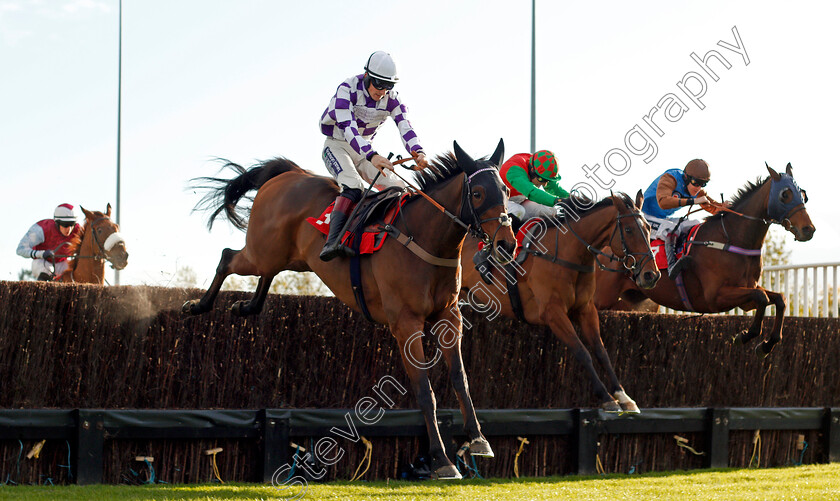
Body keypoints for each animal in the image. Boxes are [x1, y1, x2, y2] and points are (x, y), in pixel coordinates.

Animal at [184, 139, 520, 478]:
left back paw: (244, 306)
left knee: (265, 274)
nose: (506, 244)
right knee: (228, 257)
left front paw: (479, 440)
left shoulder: (449, 317)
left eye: (506, 190)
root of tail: (291, 173)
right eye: (477, 193)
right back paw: (197, 305)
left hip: (290, 258)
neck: (426, 238)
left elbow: (461, 380)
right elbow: (425, 392)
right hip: (261, 251)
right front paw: (442, 460)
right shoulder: (406, 324)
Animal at [460, 189, 664, 412]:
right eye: (628, 229)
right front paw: (607, 397)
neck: (566, 254)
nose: (651, 275)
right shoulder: (553, 313)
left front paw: (624, 396)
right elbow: (582, 352)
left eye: (648, 229)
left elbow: (601, 351)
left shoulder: (586, 309)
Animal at [592, 164, 816, 356]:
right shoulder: (715, 297)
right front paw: (744, 336)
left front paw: (767, 344)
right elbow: (763, 298)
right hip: (602, 298)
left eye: (803, 194)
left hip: (634, 301)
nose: (808, 229)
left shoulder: (747, 293)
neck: (731, 238)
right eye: (785, 194)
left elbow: (778, 299)